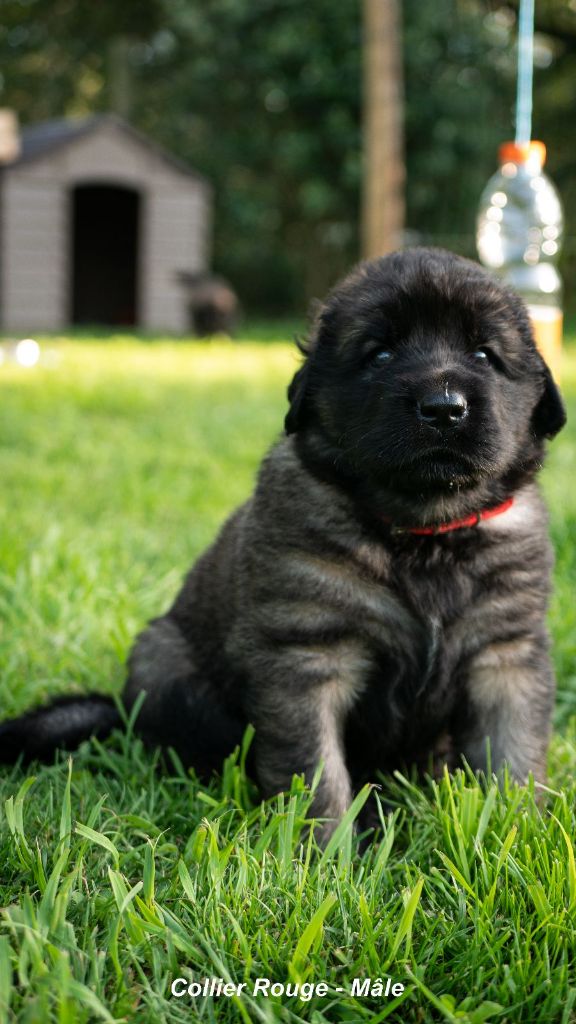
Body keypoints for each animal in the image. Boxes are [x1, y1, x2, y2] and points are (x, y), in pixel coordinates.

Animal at [1, 247, 565, 839]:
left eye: (484, 354)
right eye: (380, 353)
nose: (442, 406)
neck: (422, 531)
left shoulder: (506, 655)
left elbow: (512, 756)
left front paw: (517, 828)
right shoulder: (305, 657)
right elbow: (316, 773)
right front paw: (330, 849)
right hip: (164, 662)